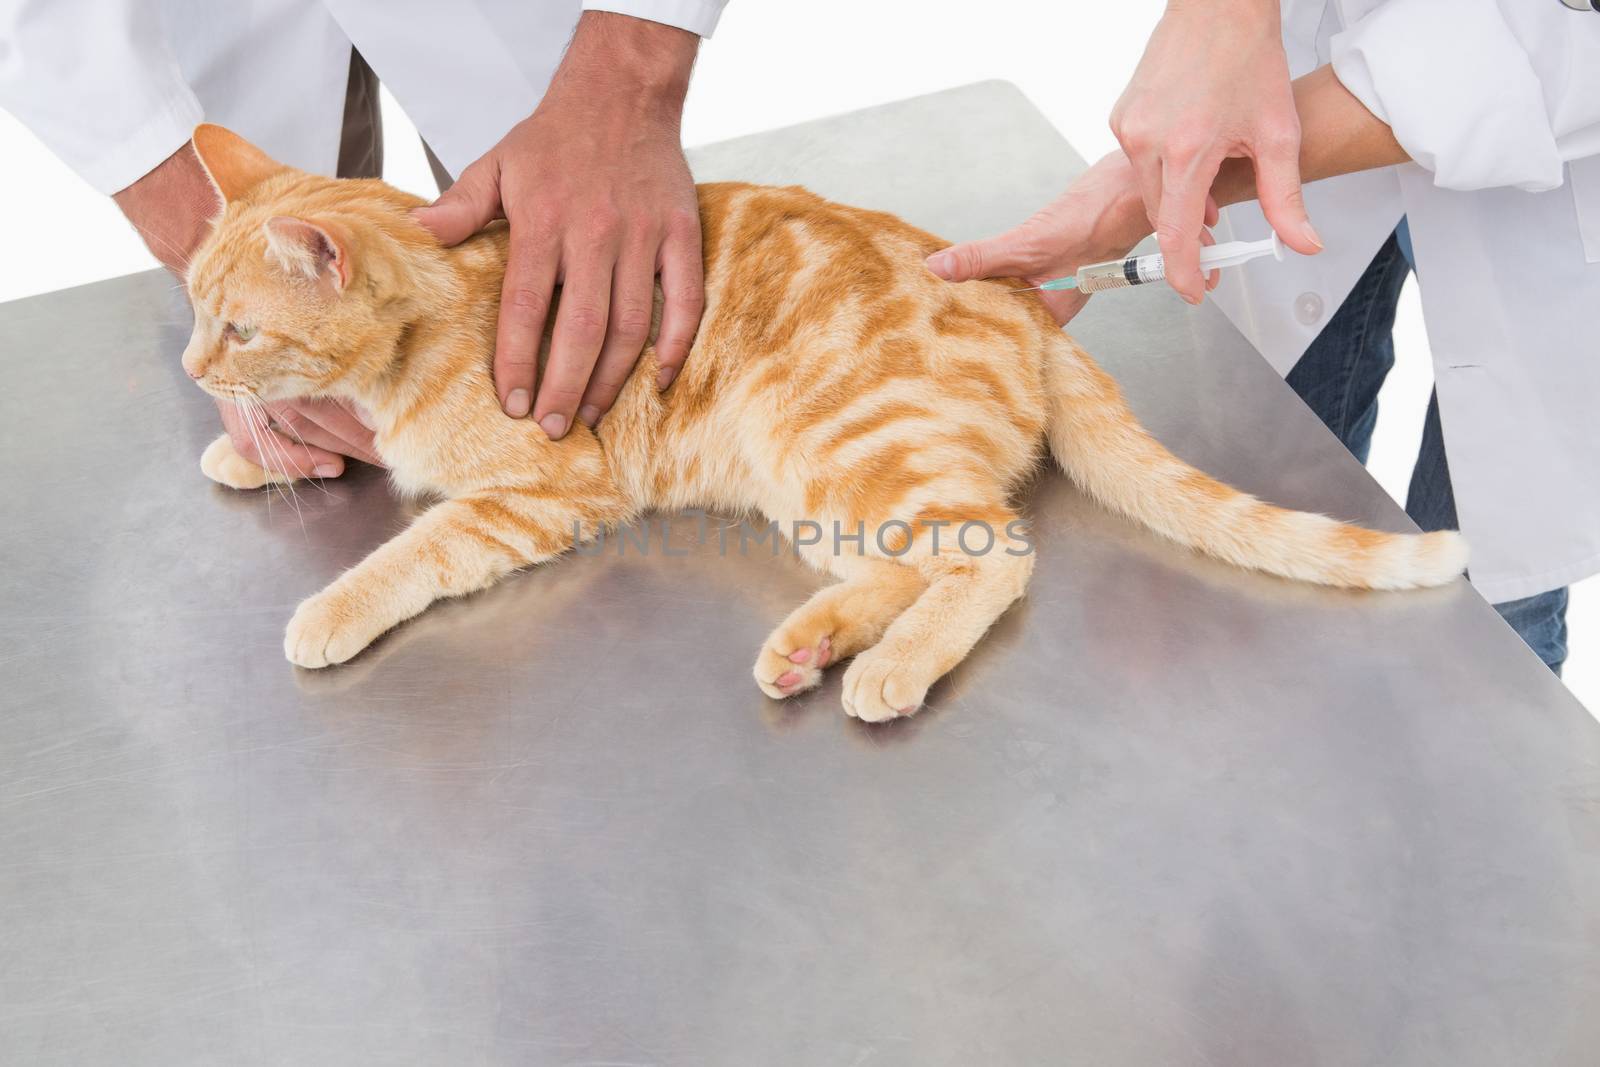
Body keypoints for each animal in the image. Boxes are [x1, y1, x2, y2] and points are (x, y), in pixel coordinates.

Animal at [181, 127, 1465, 726]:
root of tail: (1020, 301)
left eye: (238, 327)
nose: (195, 366)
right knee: (912, 561)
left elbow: (413, 547)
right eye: (193, 308)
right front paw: (251, 446)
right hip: (816, 486)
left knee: (993, 555)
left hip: (838, 445)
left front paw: (329, 606)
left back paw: (889, 664)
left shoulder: (543, 493)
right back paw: (813, 641)